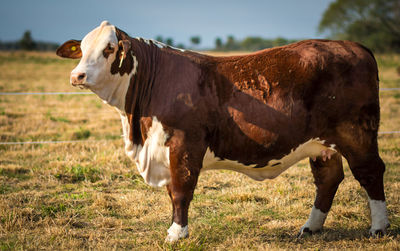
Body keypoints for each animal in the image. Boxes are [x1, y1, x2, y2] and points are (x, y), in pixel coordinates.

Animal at [56, 21, 388, 241]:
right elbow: (172, 191)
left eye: (109, 48)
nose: (76, 75)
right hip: (322, 143)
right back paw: (310, 227)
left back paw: (378, 228)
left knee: (370, 171)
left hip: (356, 133)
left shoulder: (184, 143)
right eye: (82, 49)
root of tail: (353, 46)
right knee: (328, 178)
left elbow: (181, 189)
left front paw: (176, 233)